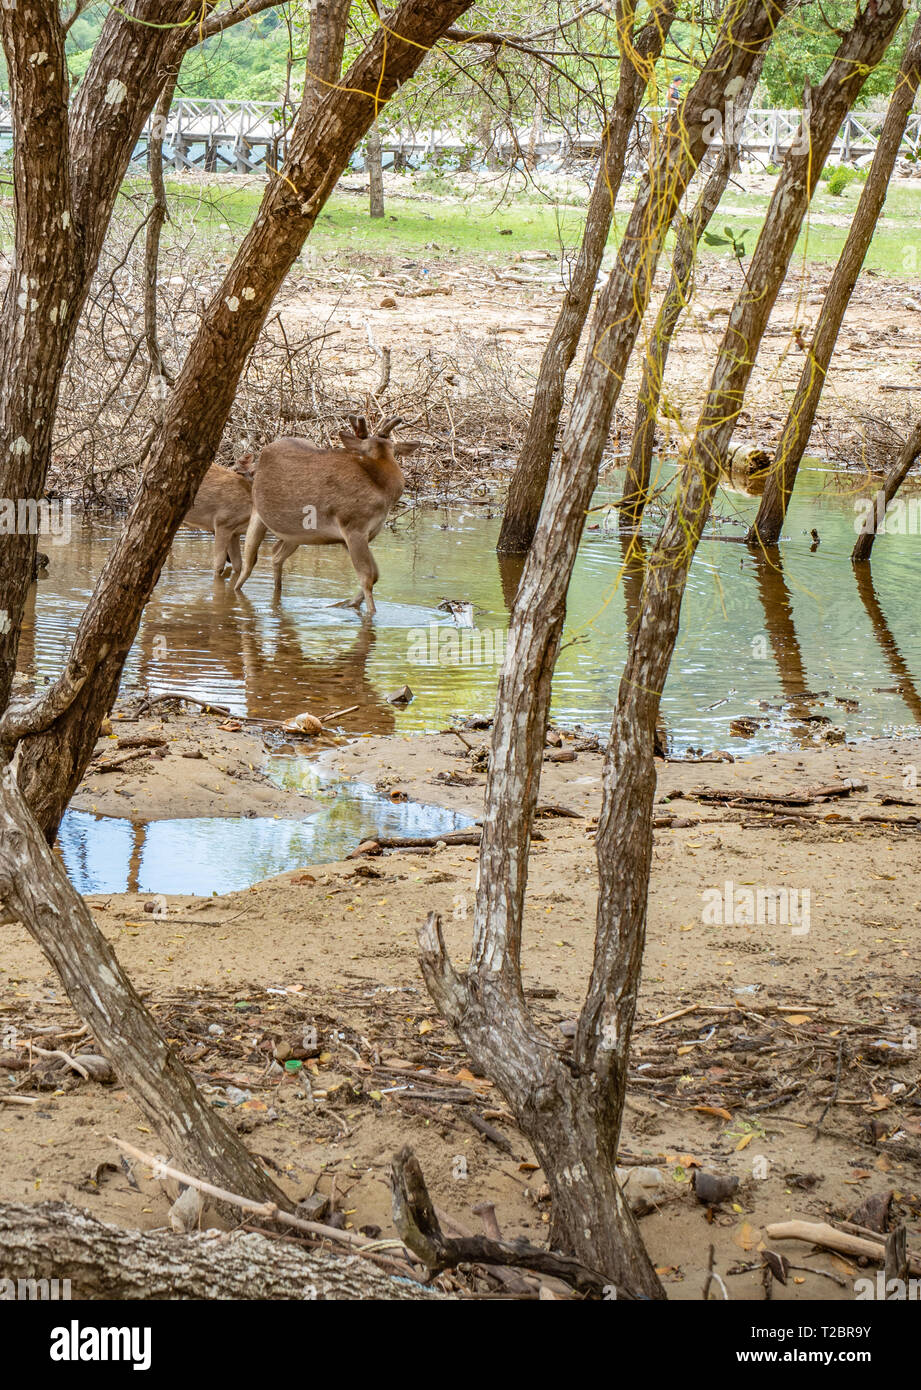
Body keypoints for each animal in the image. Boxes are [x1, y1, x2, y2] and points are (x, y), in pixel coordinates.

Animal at [233, 415, 419, 614]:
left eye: (393, 449)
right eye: (367, 449)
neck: (383, 494)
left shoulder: (359, 535)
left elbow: (375, 574)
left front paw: (347, 603)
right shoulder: (353, 526)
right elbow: (367, 577)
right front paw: (369, 613)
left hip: (296, 534)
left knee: (276, 555)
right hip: (257, 514)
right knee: (248, 565)